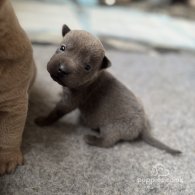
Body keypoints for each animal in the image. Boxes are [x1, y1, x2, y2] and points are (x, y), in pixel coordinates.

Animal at [35, 24, 181, 155]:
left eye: (87, 67)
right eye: (62, 48)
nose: (62, 69)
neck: (93, 78)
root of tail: (143, 127)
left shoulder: (71, 101)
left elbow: (56, 112)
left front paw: (42, 121)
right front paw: (59, 93)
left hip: (113, 128)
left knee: (108, 141)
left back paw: (91, 138)